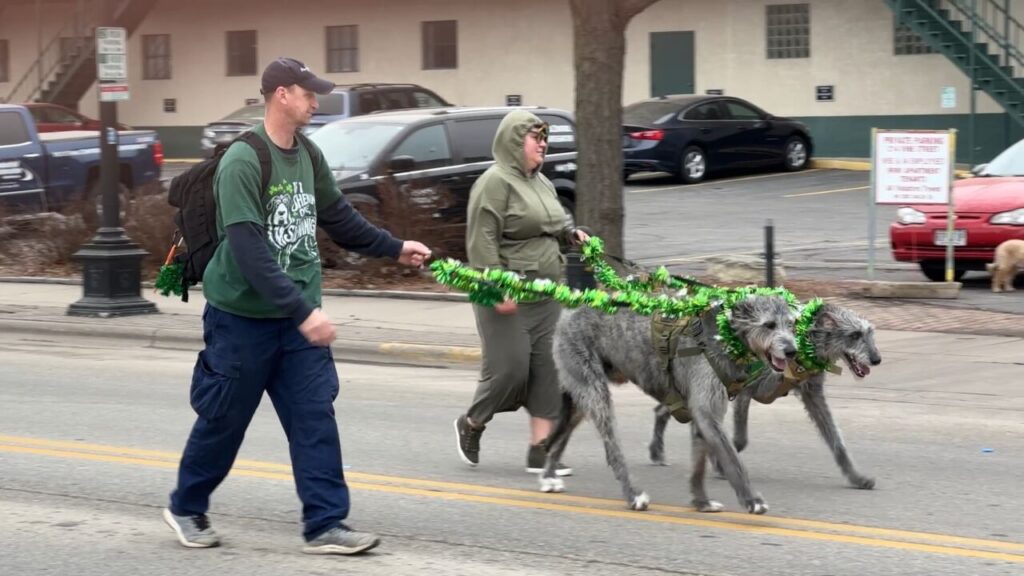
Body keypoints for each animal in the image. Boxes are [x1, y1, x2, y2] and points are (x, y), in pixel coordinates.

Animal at [540, 293, 794, 512]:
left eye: (791, 324)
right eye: (769, 325)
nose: (792, 350)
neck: (722, 335)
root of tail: (569, 312)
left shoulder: (701, 415)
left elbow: (699, 465)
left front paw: (701, 501)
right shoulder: (707, 410)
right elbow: (732, 458)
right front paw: (752, 500)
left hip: (580, 396)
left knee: (562, 436)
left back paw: (549, 476)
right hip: (594, 391)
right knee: (612, 449)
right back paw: (633, 495)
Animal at [647, 301, 880, 487]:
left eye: (870, 333)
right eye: (854, 335)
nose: (877, 359)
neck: (803, 342)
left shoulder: (812, 394)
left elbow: (836, 440)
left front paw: (857, 477)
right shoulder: (745, 389)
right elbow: (739, 440)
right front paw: (720, 463)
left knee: (663, 409)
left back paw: (656, 451)